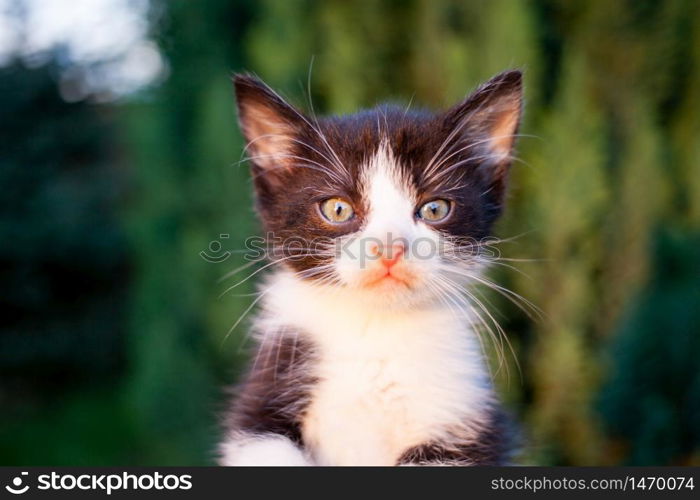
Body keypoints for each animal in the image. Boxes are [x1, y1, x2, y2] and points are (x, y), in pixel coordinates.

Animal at [221, 69, 524, 464]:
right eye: (338, 209)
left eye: (435, 209)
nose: (389, 248)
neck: (375, 329)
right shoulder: (261, 400)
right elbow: (266, 444)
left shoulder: (467, 421)